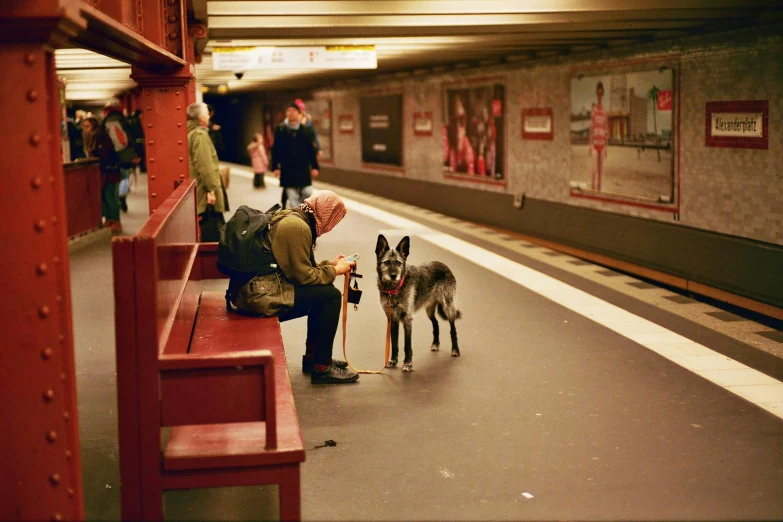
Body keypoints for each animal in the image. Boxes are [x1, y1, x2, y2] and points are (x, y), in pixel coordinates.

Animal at [374, 232, 460, 370]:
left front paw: (408, 363)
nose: (393, 275)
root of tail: (443, 265)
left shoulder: (407, 319)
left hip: (448, 307)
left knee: (453, 328)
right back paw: (435, 344)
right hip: (429, 310)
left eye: (398, 263)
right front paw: (393, 360)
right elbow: (395, 343)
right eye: (386, 262)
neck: (394, 289)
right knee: (436, 324)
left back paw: (455, 350)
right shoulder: (393, 319)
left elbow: (407, 345)